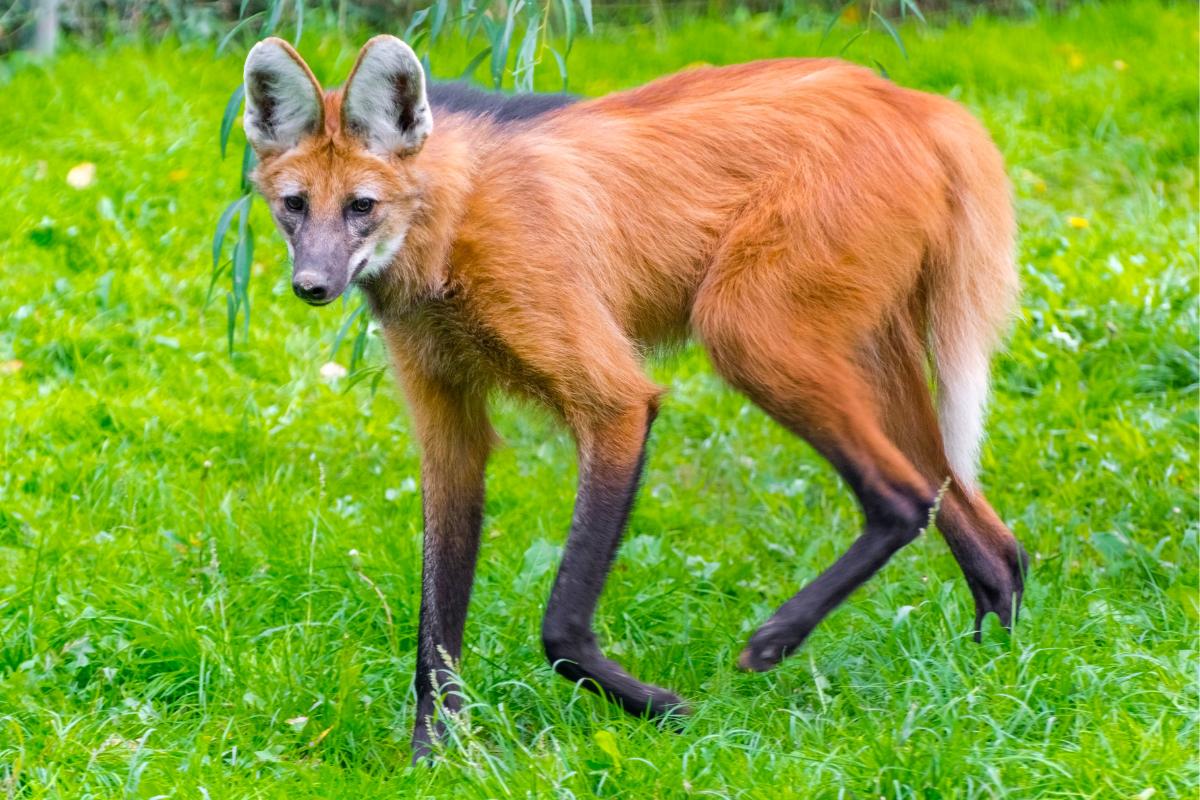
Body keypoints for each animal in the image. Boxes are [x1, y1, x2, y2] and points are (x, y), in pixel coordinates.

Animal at [240, 35, 1028, 759]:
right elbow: (436, 621)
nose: (312, 285)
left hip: (748, 330)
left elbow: (559, 626)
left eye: (362, 207)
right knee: (989, 536)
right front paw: (436, 757)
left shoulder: (615, 401)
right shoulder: (448, 427)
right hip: (864, 355)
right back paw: (991, 682)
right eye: (294, 206)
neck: (451, 226)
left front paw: (667, 709)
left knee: (903, 500)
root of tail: (918, 104)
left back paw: (774, 642)